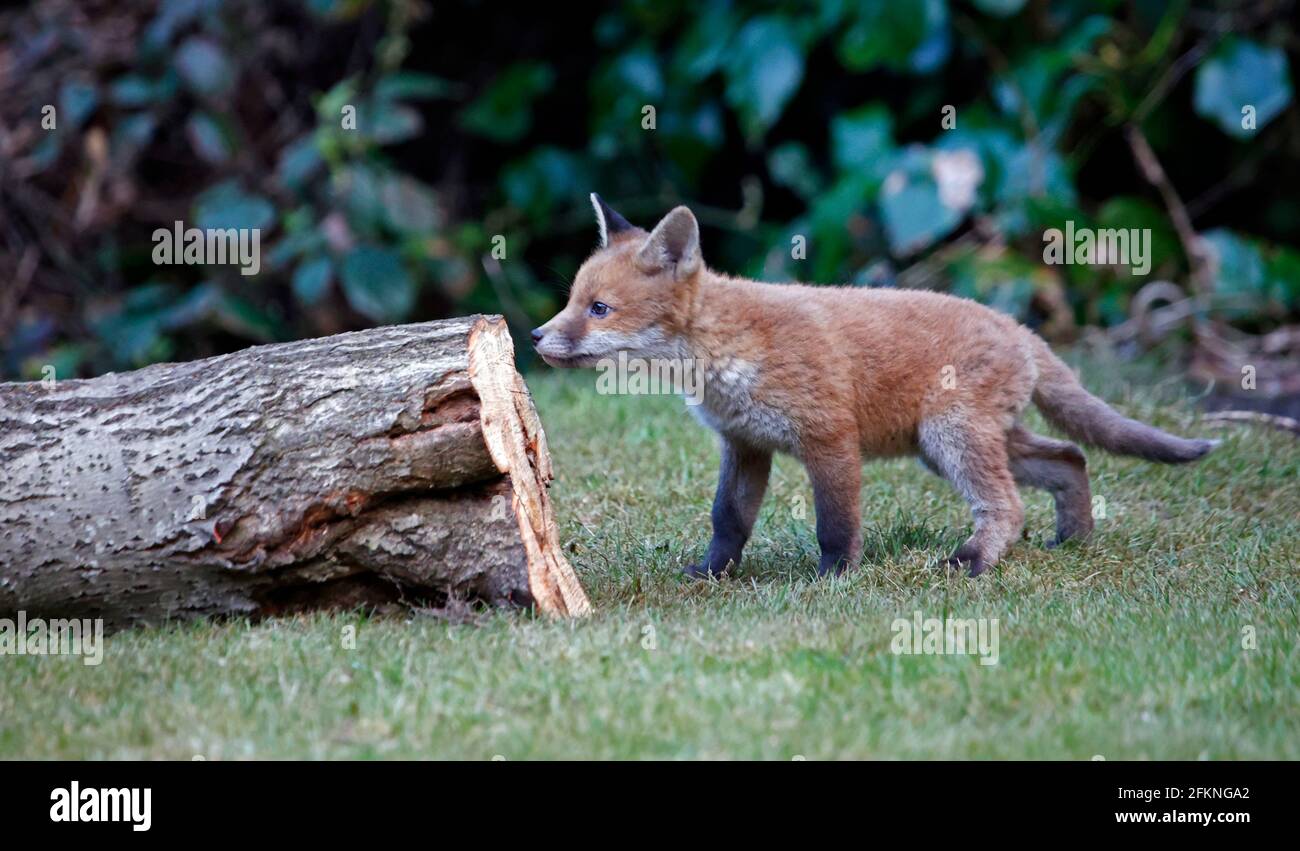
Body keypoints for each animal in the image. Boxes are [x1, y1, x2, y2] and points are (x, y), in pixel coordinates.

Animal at [532, 194, 1218, 579]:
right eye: (571, 301)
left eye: (598, 309)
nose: (536, 337)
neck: (724, 353)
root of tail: (1019, 327)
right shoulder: (745, 445)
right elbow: (728, 519)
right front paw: (709, 574)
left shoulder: (829, 439)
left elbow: (836, 524)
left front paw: (835, 579)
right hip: (951, 446)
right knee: (1071, 456)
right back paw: (1072, 540)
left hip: (950, 438)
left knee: (1010, 503)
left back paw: (975, 561)